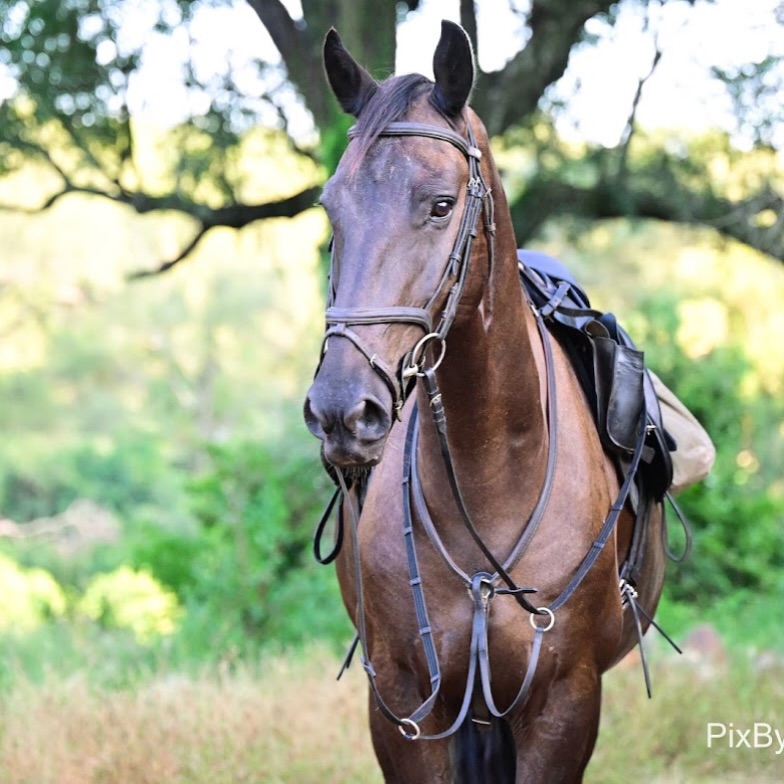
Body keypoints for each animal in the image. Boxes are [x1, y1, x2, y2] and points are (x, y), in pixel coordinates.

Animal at [304, 21, 667, 783]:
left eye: (442, 204)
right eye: (331, 209)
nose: (342, 410)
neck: (490, 468)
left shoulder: (563, 705)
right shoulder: (404, 706)